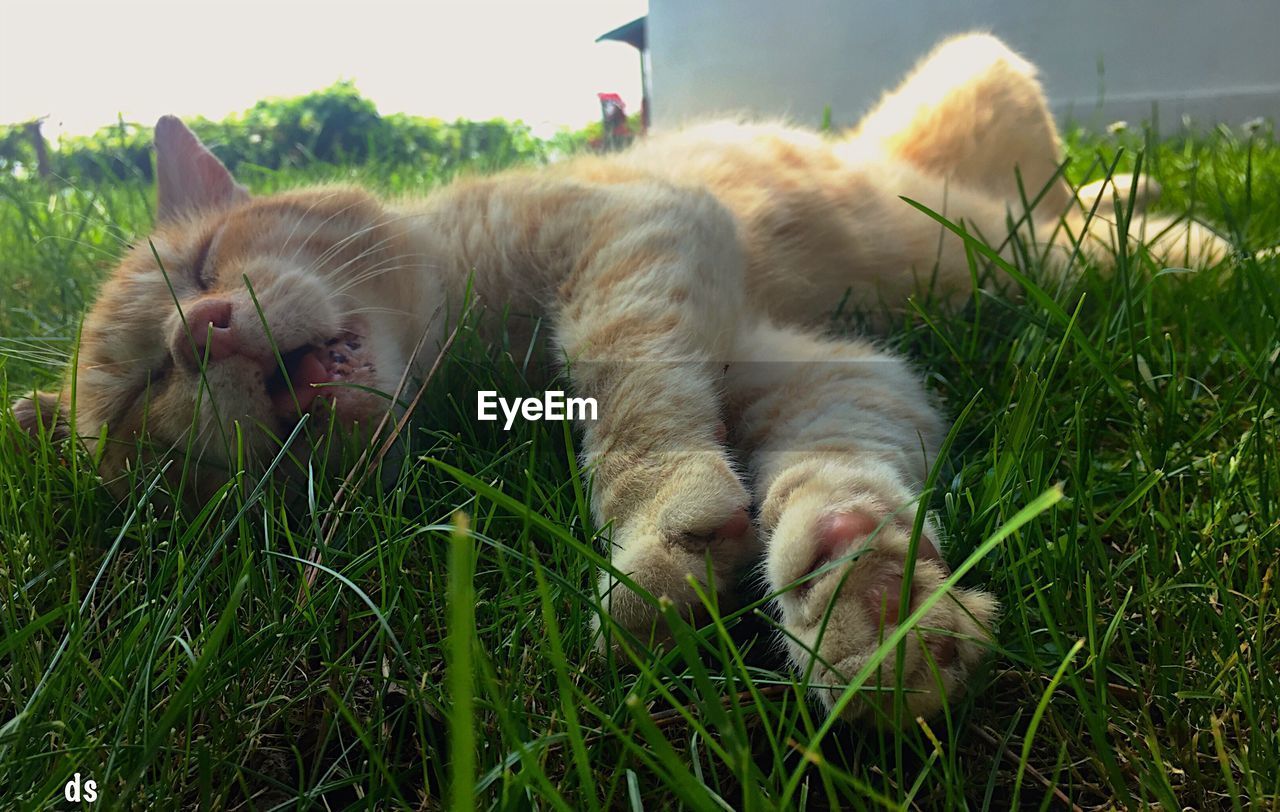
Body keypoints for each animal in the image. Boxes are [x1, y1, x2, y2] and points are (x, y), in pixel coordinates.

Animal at [7, 33, 1228, 722]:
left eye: (204, 264)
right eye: (145, 392)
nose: (206, 330)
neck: (458, 355)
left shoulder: (635, 239)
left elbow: (628, 394)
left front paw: (658, 536)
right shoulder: (830, 364)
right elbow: (838, 461)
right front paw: (863, 594)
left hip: (997, 211)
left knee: (1089, 225)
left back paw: (1199, 239)